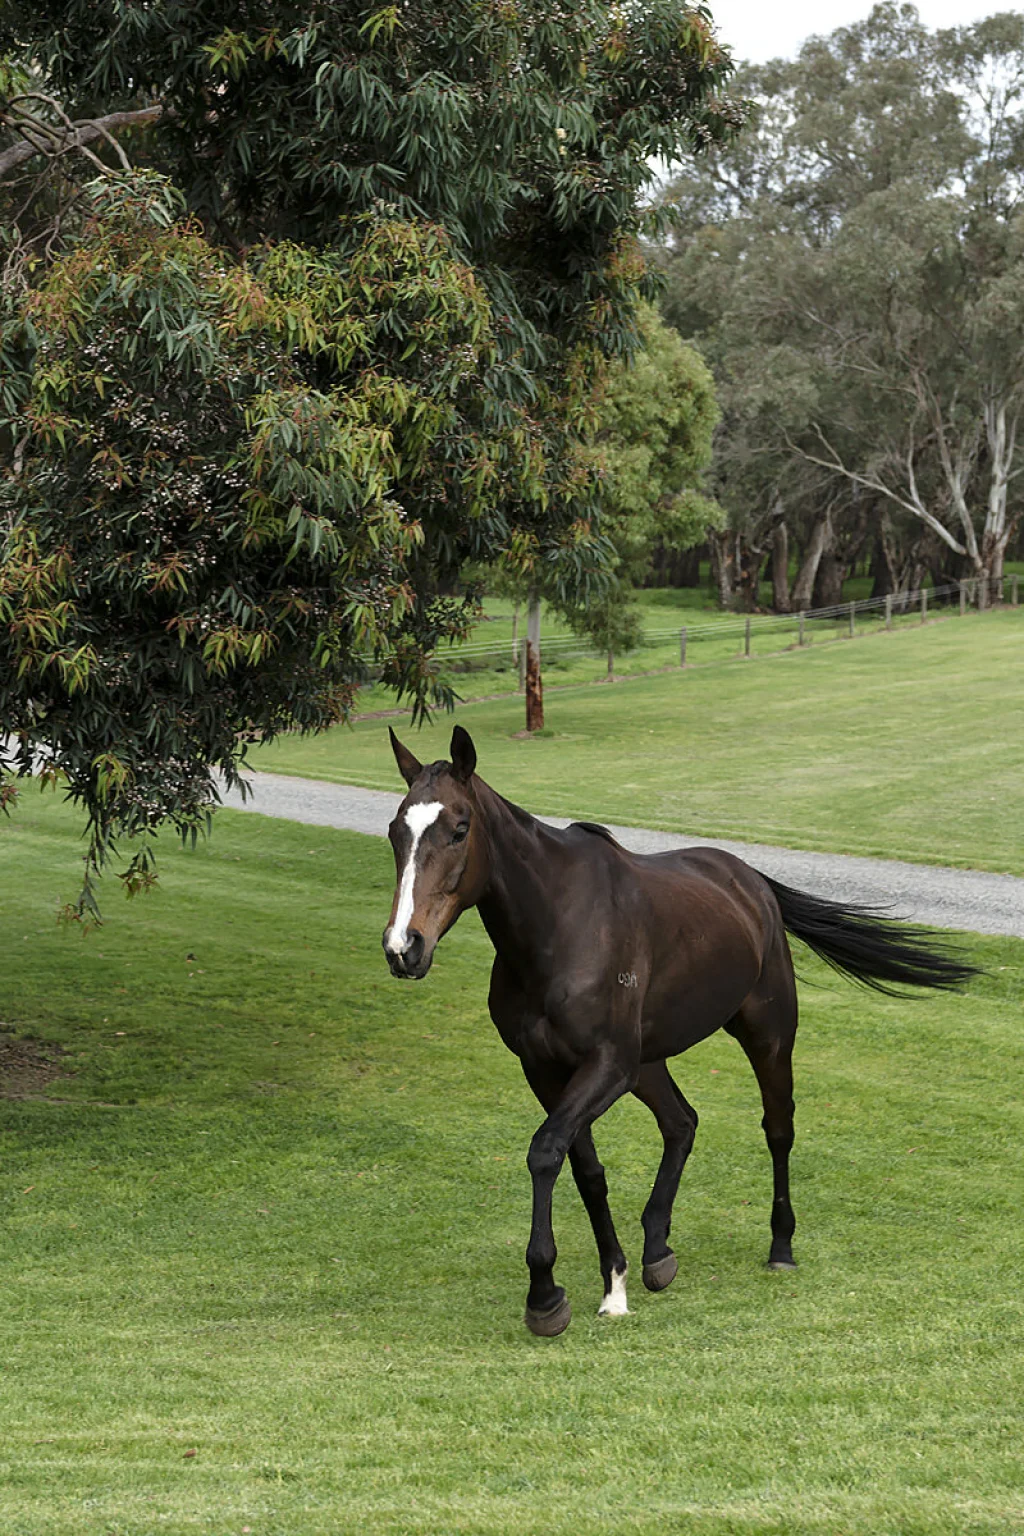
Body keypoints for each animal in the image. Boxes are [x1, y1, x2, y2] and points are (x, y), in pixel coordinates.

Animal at [382, 725, 976, 1337]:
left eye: (459, 828)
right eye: (396, 832)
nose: (404, 948)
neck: (558, 929)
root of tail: (750, 881)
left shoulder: (607, 1065)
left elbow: (546, 1151)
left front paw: (544, 1294)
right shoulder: (547, 1070)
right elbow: (585, 1168)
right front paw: (613, 1283)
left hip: (766, 1036)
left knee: (777, 1129)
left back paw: (780, 1247)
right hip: (648, 1064)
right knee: (682, 1124)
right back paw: (657, 1251)